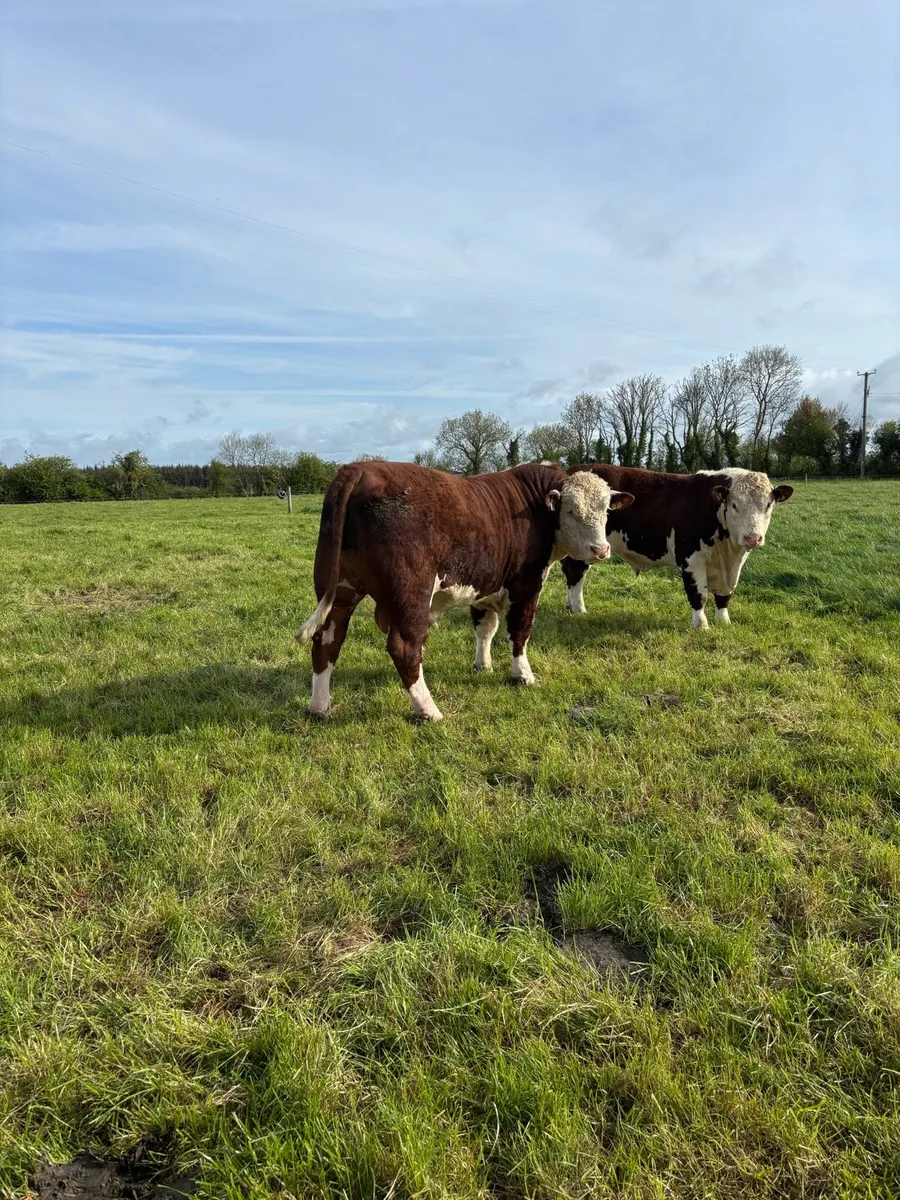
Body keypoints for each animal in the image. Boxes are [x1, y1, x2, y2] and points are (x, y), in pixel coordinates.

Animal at [296, 461, 633, 720]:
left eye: (605, 509)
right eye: (572, 510)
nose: (600, 550)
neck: (533, 507)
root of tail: (359, 468)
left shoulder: (484, 587)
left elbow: (485, 629)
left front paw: (483, 665)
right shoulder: (526, 585)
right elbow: (519, 632)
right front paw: (523, 675)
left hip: (338, 591)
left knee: (326, 641)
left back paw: (319, 707)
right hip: (411, 594)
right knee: (404, 648)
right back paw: (429, 711)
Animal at [560, 466, 793, 629]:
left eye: (768, 505)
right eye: (735, 505)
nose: (753, 537)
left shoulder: (734, 564)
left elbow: (724, 595)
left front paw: (724, 621)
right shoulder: (691, 559)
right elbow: (699, 595)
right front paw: (701, 626)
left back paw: (571, 607)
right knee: (575, 573)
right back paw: (579, 609)